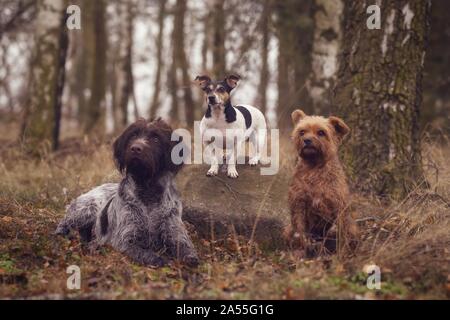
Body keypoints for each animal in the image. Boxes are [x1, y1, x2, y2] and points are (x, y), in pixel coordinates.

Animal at [55, 117, 199, 268]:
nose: (135, 148)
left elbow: (187, 250)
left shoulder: (174, 231)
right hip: (86, 209)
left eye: (156, 138)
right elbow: (146, 254)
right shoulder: (125, 240)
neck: (148, 191)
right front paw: (159, 259)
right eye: (133, 136)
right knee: (65, 223)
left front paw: (188, 258)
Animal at [286, 110, 356, 258]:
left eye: (321, 132)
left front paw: (342, 253)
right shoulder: (298, 204)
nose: (307, 140)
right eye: (302, 132)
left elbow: (342, 233)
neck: (314, 168)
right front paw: (300, 251)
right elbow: (300, 231)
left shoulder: (338, 207)